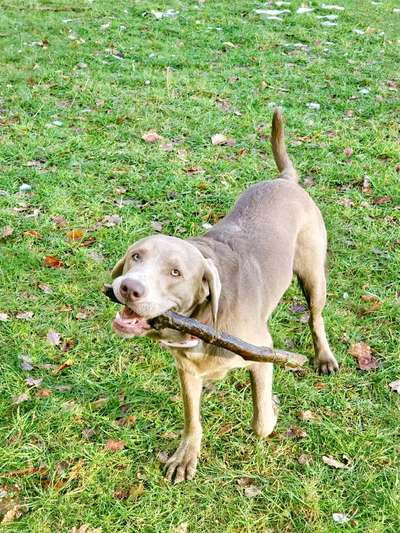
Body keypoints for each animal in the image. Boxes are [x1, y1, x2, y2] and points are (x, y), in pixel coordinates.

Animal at [106, 110, 338, 484]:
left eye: (175, 273)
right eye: (135, 256)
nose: (128, 288)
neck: (200, 322)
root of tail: (285, 180)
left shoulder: (261, 357)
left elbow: (261, 422)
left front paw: (271, 409)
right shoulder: (186, 369)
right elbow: (192, 418)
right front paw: (186, 457)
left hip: (314, 274)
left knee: (316, 317)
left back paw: (325, 358)